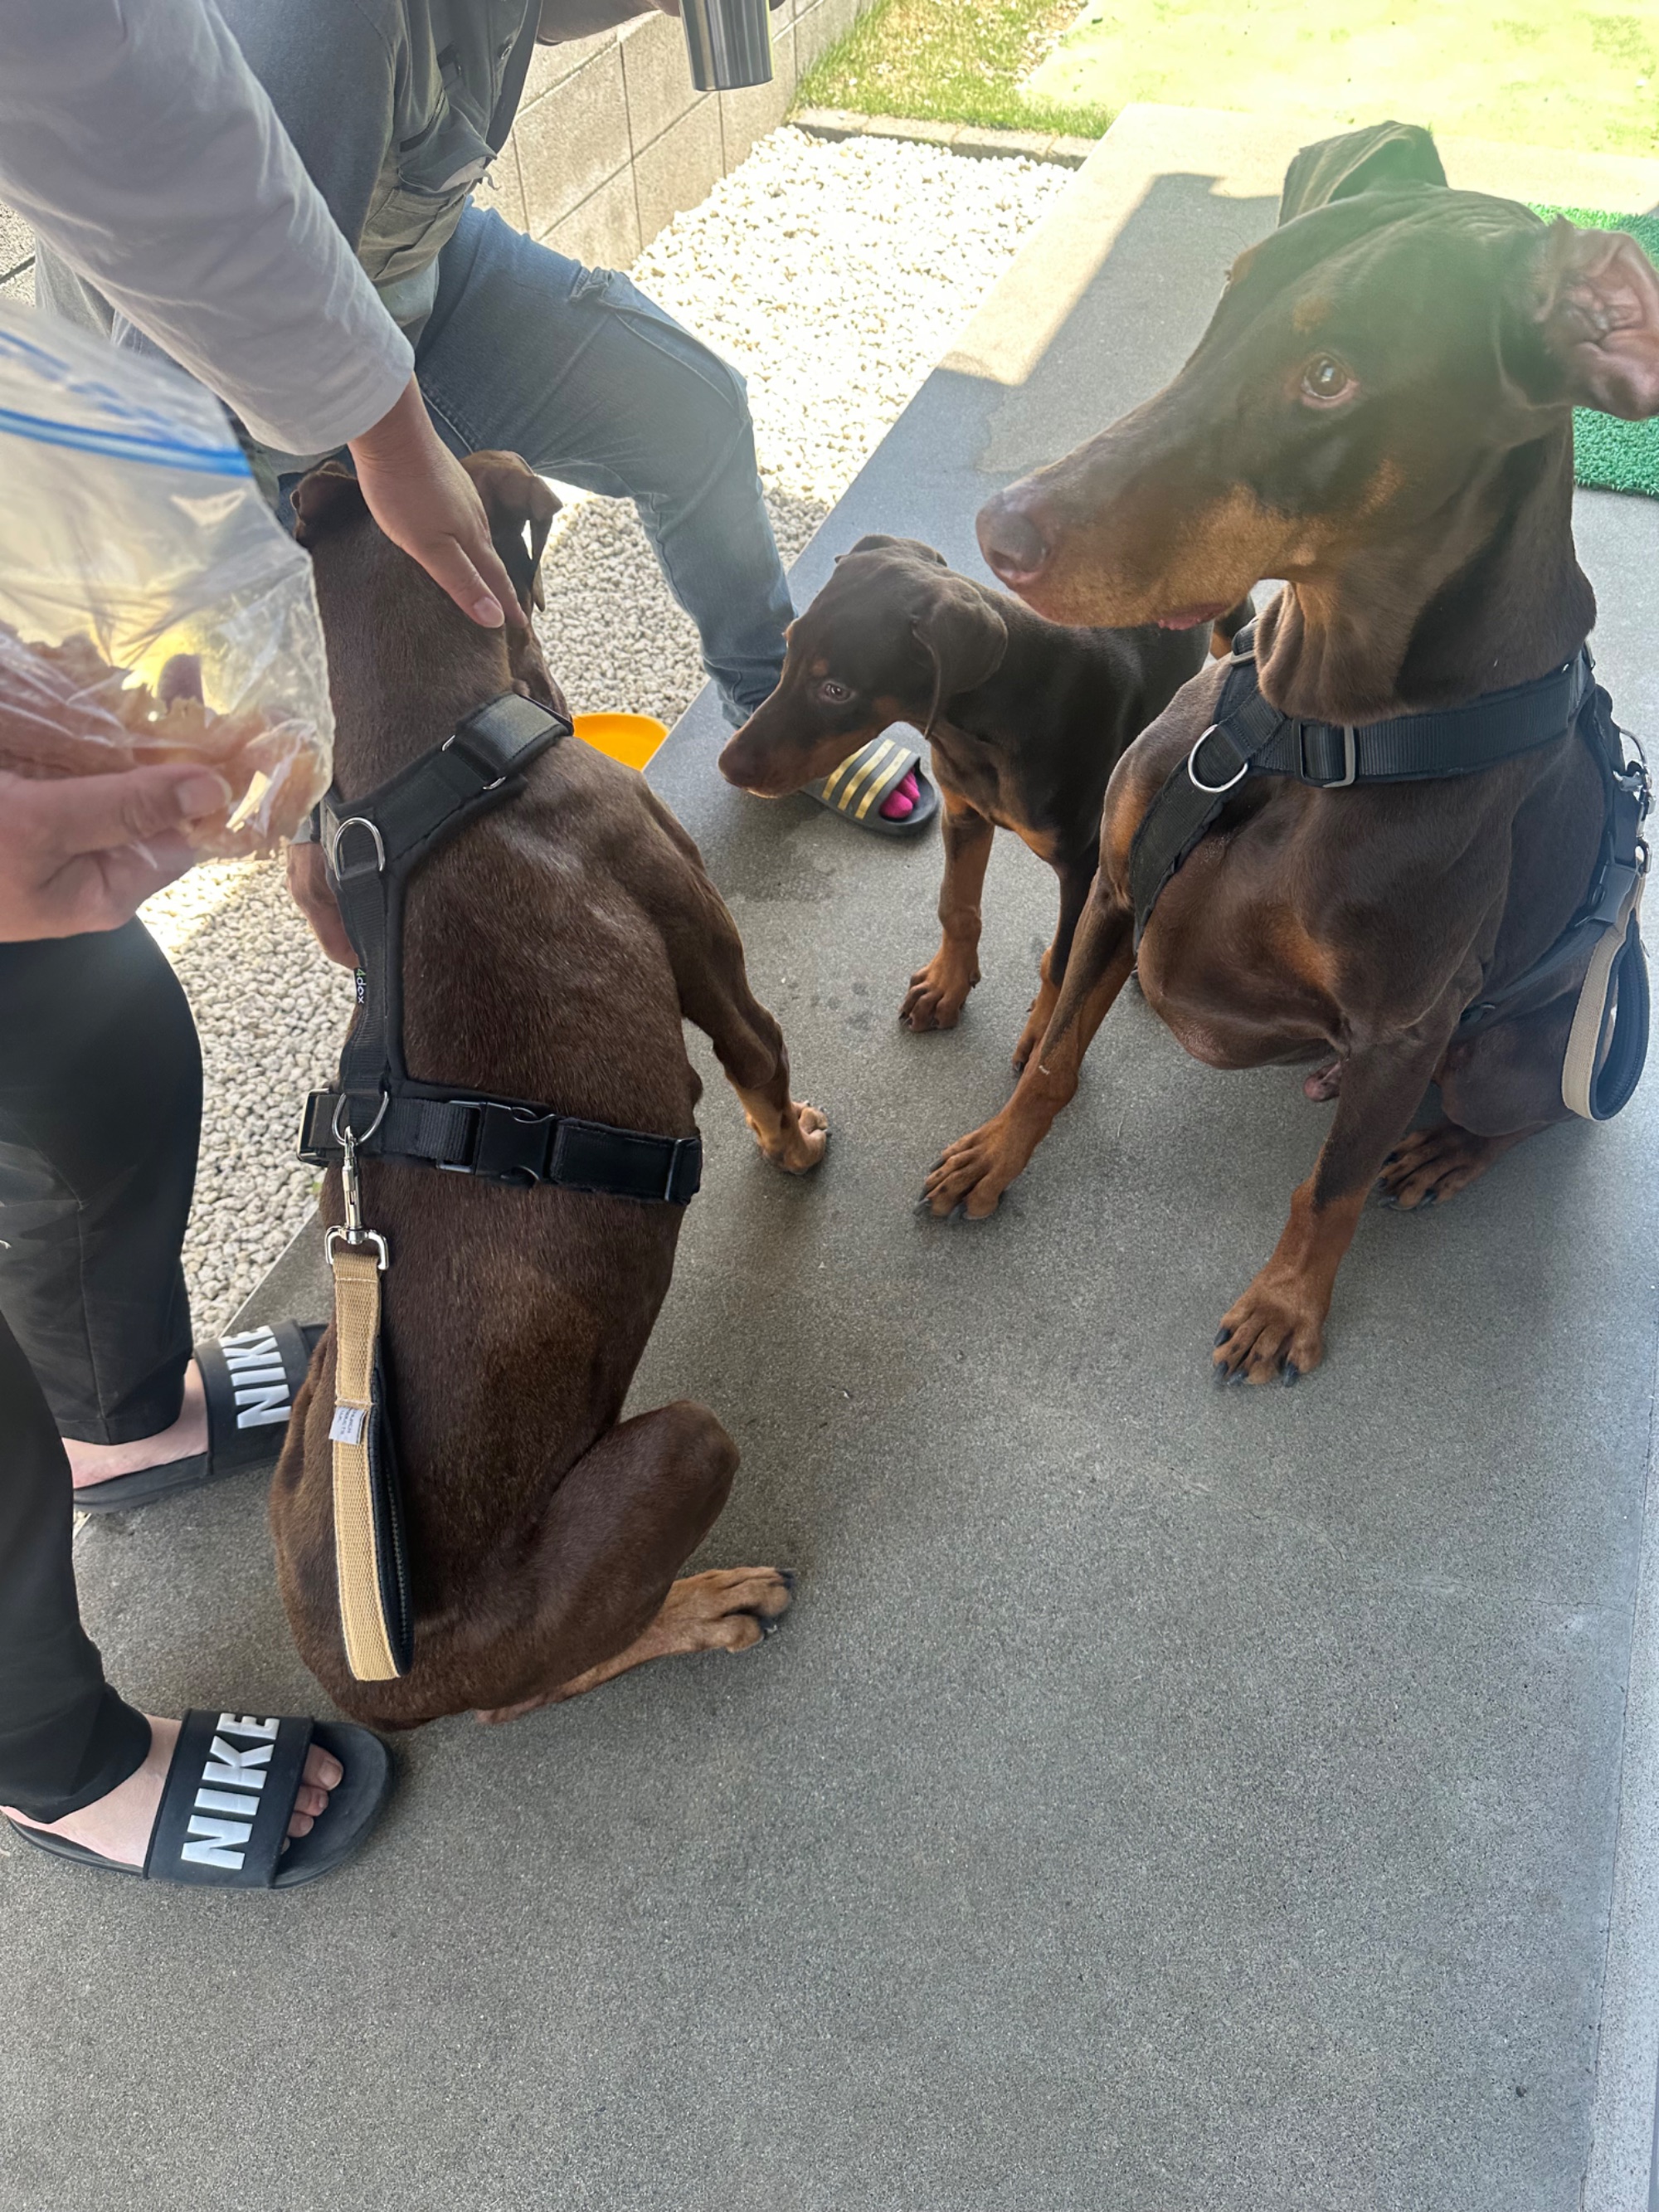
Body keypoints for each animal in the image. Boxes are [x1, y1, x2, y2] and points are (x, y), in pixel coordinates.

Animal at [275, 452, 827, 1725]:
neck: (430, 769)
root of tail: (378, 1682)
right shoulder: (705, 951)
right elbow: (760, 1058)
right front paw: (794, 1142)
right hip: (687, 1444)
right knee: (546, 1683)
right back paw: (709, 1600)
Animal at [718, 534, 1246, 1070]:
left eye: (836, 690)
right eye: (787, 645)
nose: (727, 765)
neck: (993, 721)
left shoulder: (1082, 864)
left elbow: (1063, 960)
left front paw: (1045, 1033)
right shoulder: (964, 813)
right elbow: (956, 906)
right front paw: (945, 986)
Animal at [923, 121, 1659, 1382]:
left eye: (1328, 378)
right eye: (1232, 295)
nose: (998, 531)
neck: (1301, 738)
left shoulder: (1408, 1023)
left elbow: (1331, 1190)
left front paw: (1284, 1307)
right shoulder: (1119, 880)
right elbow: (1059, 1049)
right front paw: (995, 1151)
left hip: (1508, 1051)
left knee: (1528, 1116)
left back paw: (1445, 1152)